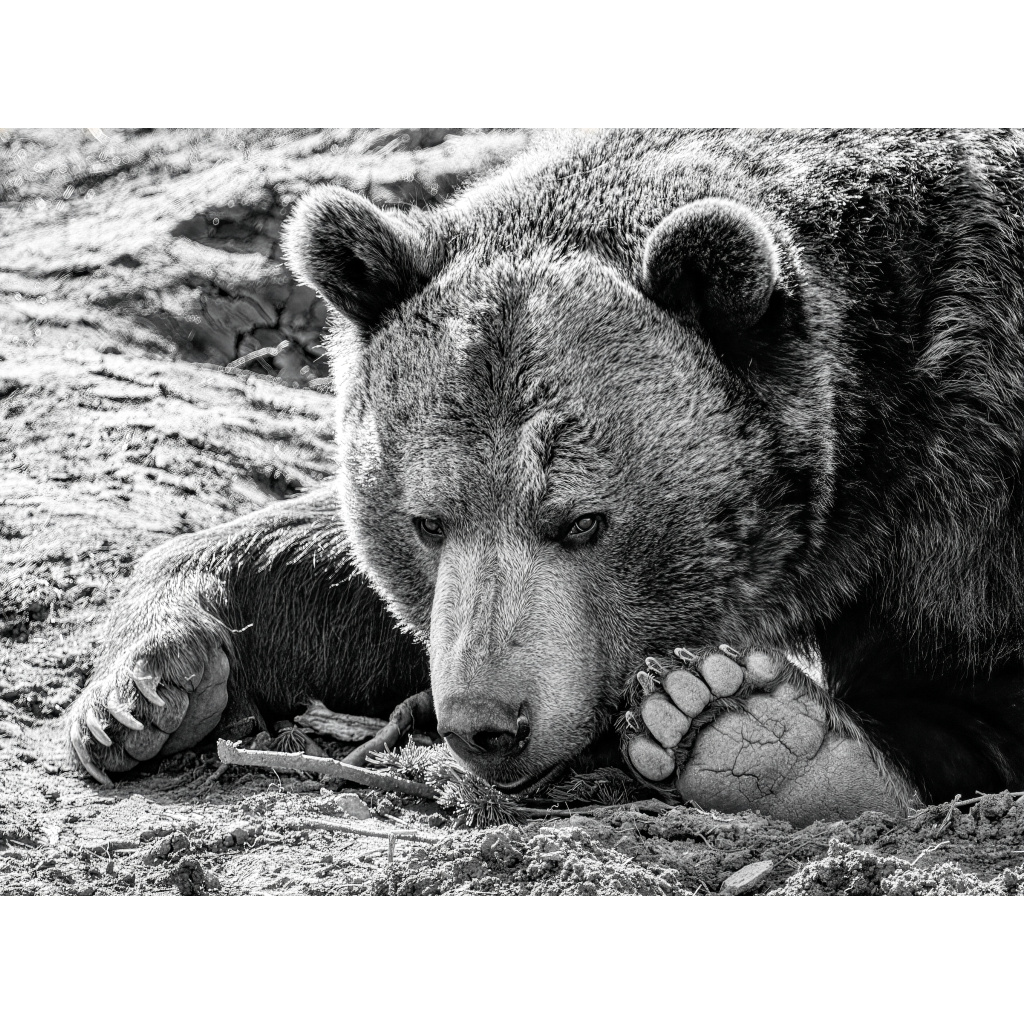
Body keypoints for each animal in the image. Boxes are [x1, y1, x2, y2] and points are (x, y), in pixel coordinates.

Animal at [65, 128, 1024, 827]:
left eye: (583, 521)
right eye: (426, 522)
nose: (488, 724)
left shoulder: (966, 470)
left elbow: (961, 684)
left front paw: (750, 730)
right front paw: (148, 687)